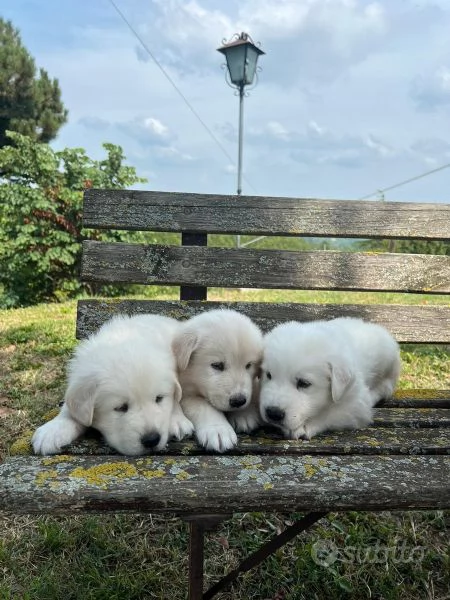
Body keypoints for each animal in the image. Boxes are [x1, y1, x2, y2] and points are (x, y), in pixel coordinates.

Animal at [31, 314, 193, 454]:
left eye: (159, 398)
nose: (152, 440)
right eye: (120, 408)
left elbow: (176, 398)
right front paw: (53, 430)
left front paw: (177, 420)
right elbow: (70, 409)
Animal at [172, 310, 264, 450]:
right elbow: (203, 406)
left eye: (249, 365)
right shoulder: (185, 393)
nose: (238, 401)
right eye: (217, 365)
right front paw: (218, 430)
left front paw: (244, 413)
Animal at [260, 318, 400, 440]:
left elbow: (331, 413)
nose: (273, 413)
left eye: (304, 383)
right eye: (268, 375)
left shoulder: (356, 405)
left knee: (386, 386)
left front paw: (305, 426)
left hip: (387, 357)